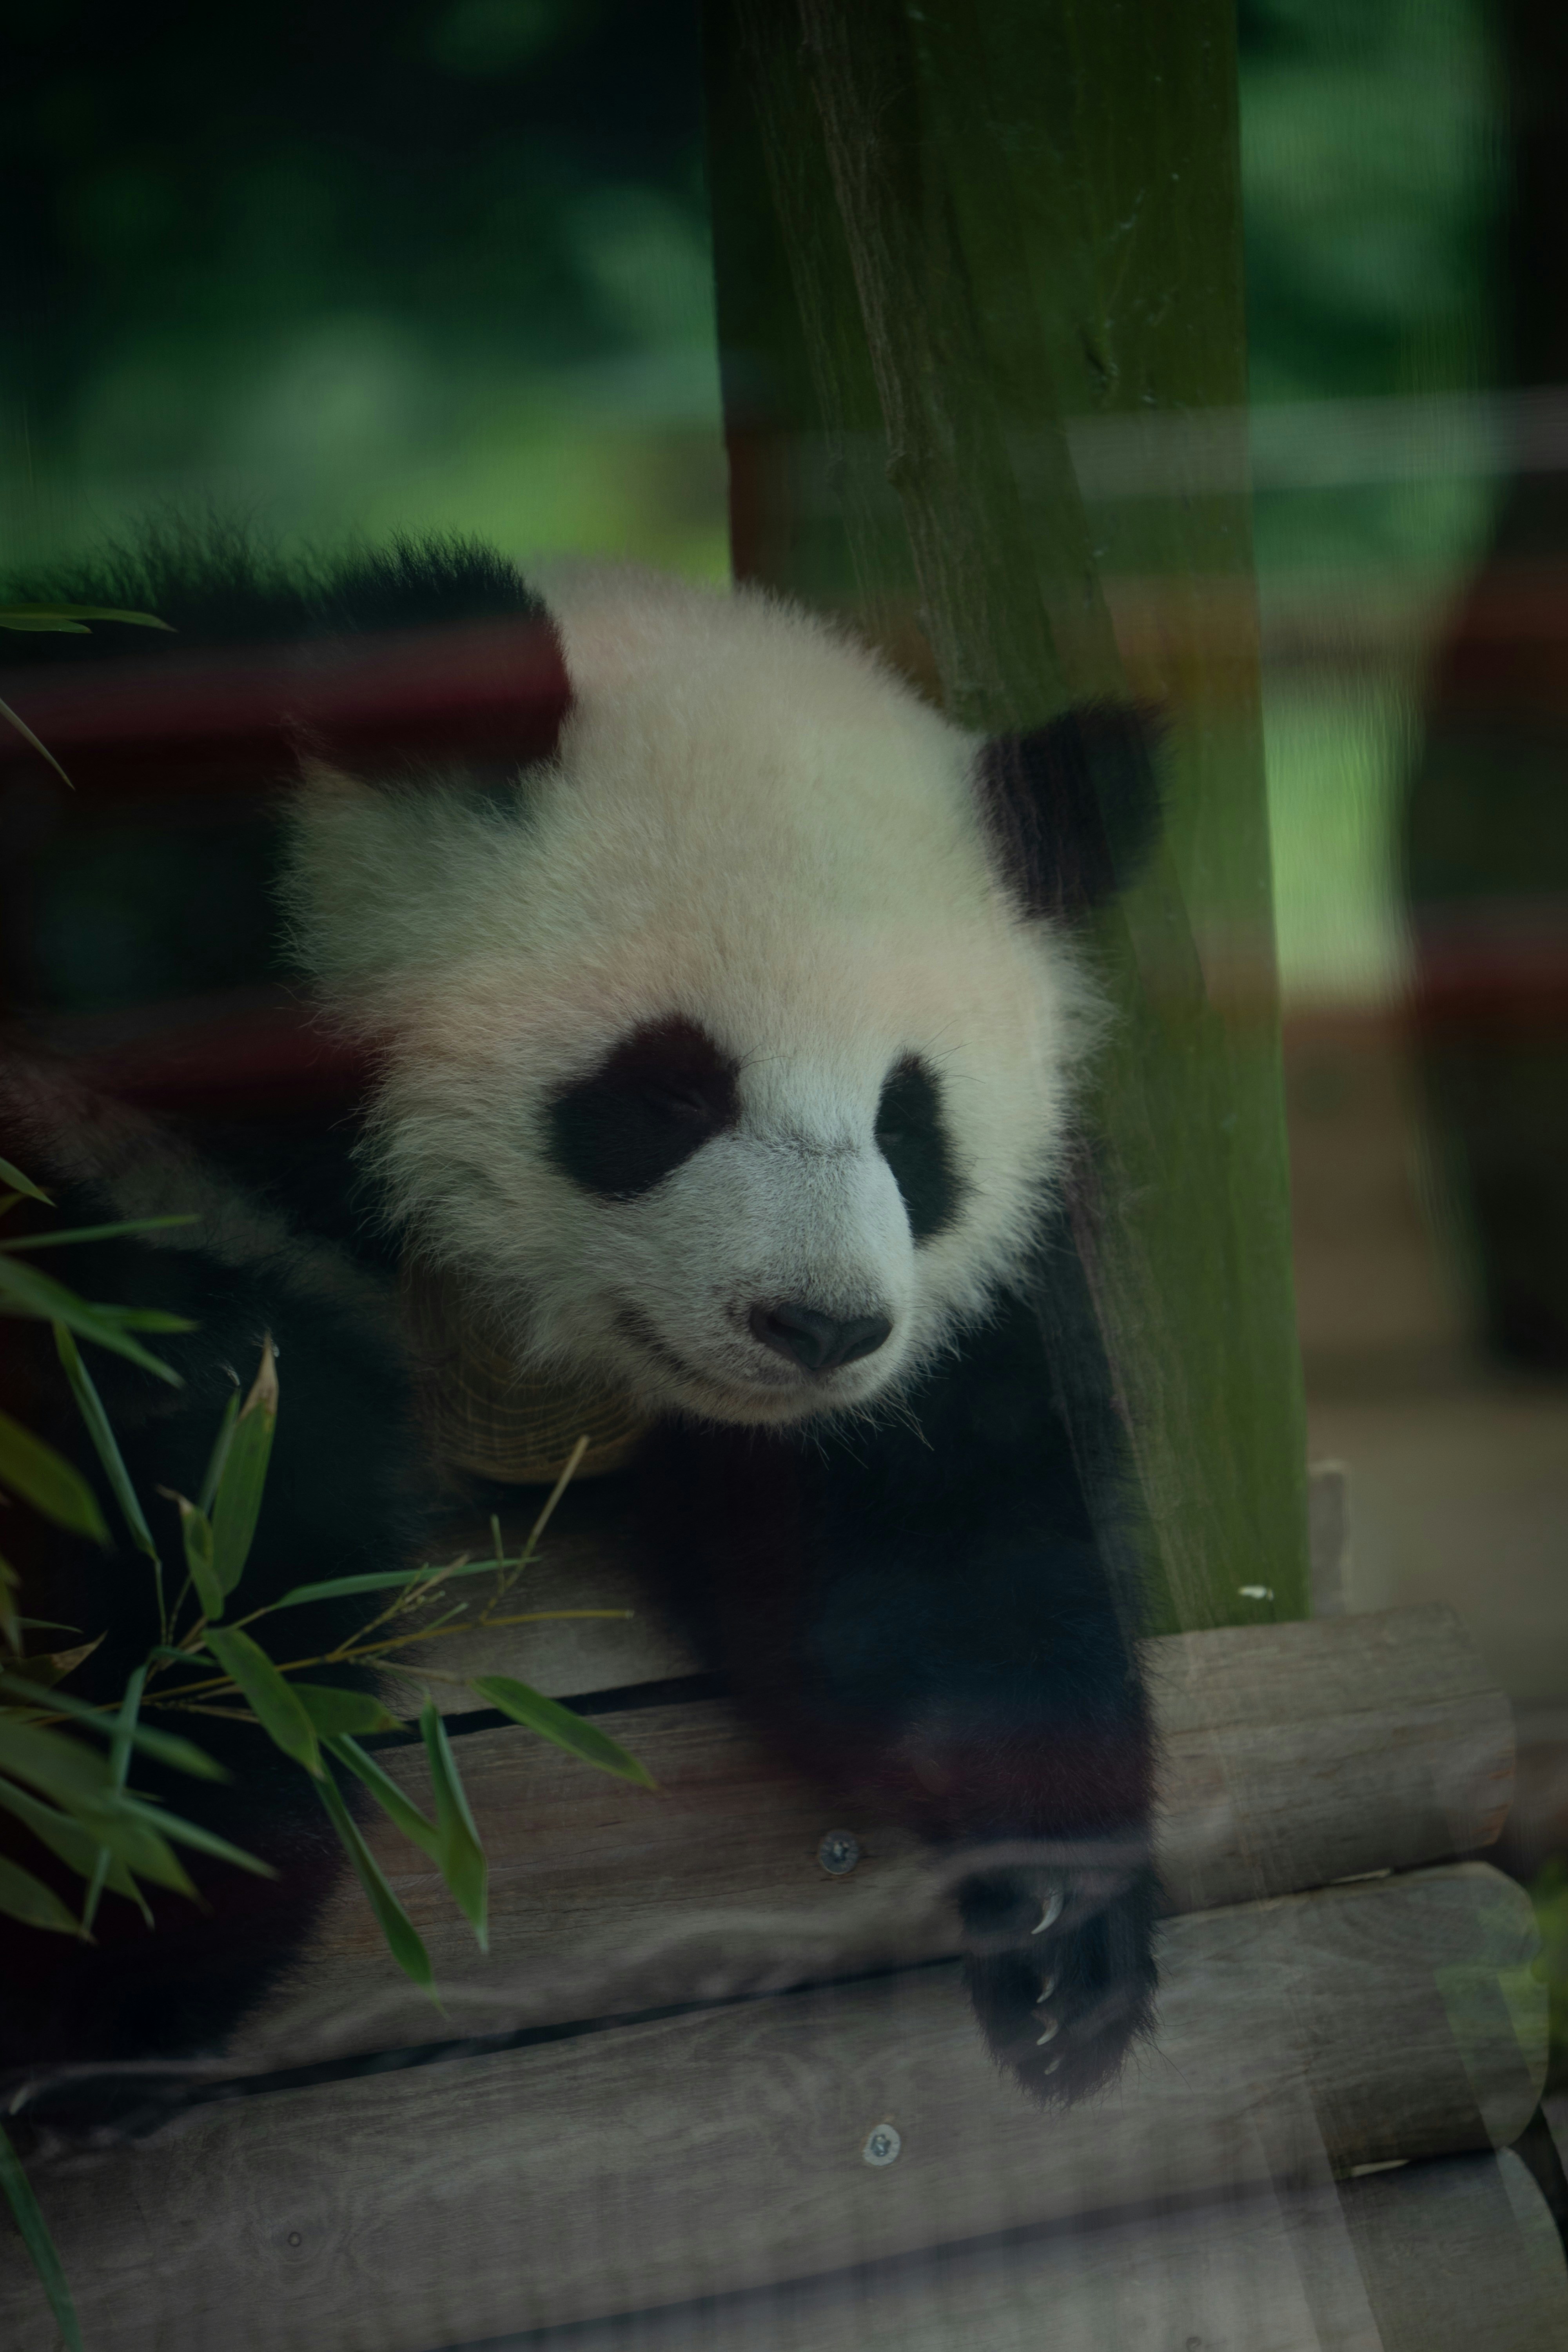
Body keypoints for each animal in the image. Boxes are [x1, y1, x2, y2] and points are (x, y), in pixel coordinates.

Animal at [0, 534, 1159, 2132]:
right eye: (668, 1088)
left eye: (910, 1124)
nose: (814, 1323)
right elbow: (205, 1490)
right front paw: (116, 1954)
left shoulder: (897, 1377)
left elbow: (943, 1555)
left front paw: (1059, 1920)